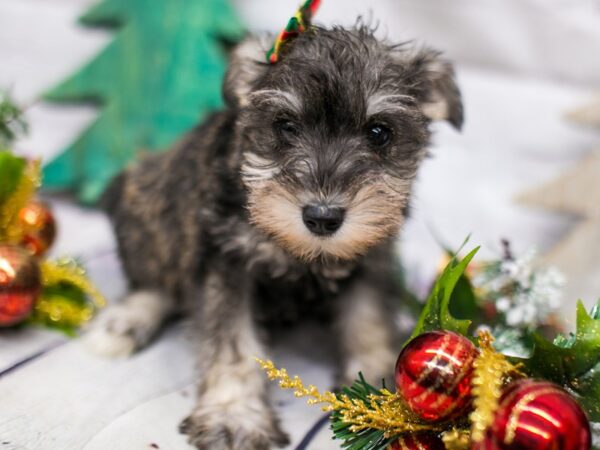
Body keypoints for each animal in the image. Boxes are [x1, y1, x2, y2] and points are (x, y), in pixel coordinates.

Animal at [84, 23, 462, 450]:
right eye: (285, 126)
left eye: (379, 132)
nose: (322, 217)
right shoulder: (229, 261)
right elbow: (233, 343)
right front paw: (234, 416)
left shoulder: (371, 259)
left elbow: (368, 318)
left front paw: (382, 394)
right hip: (146, 207)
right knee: (157, 280)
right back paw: (124, 322)